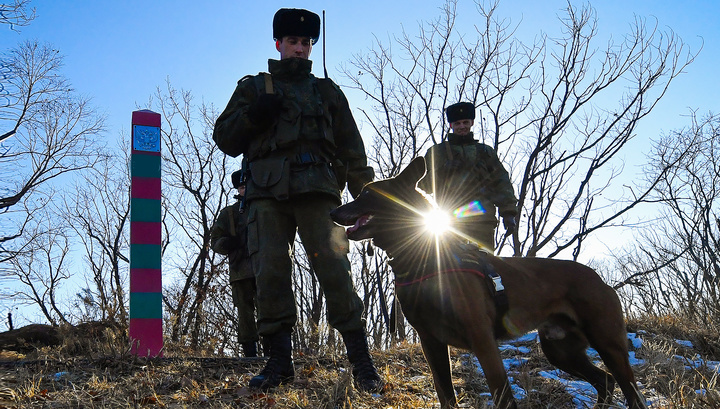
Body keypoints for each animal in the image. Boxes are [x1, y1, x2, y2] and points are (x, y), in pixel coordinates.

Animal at [330, 158, 648, 408]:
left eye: (366, 193)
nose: (332, 211)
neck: (423, 256)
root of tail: (600, 279)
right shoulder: (431, 342)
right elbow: (446, 395)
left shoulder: (482, 340)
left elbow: (503, 397)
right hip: (561, 351)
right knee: (605, 381)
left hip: (607, 343)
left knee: (631, 393)